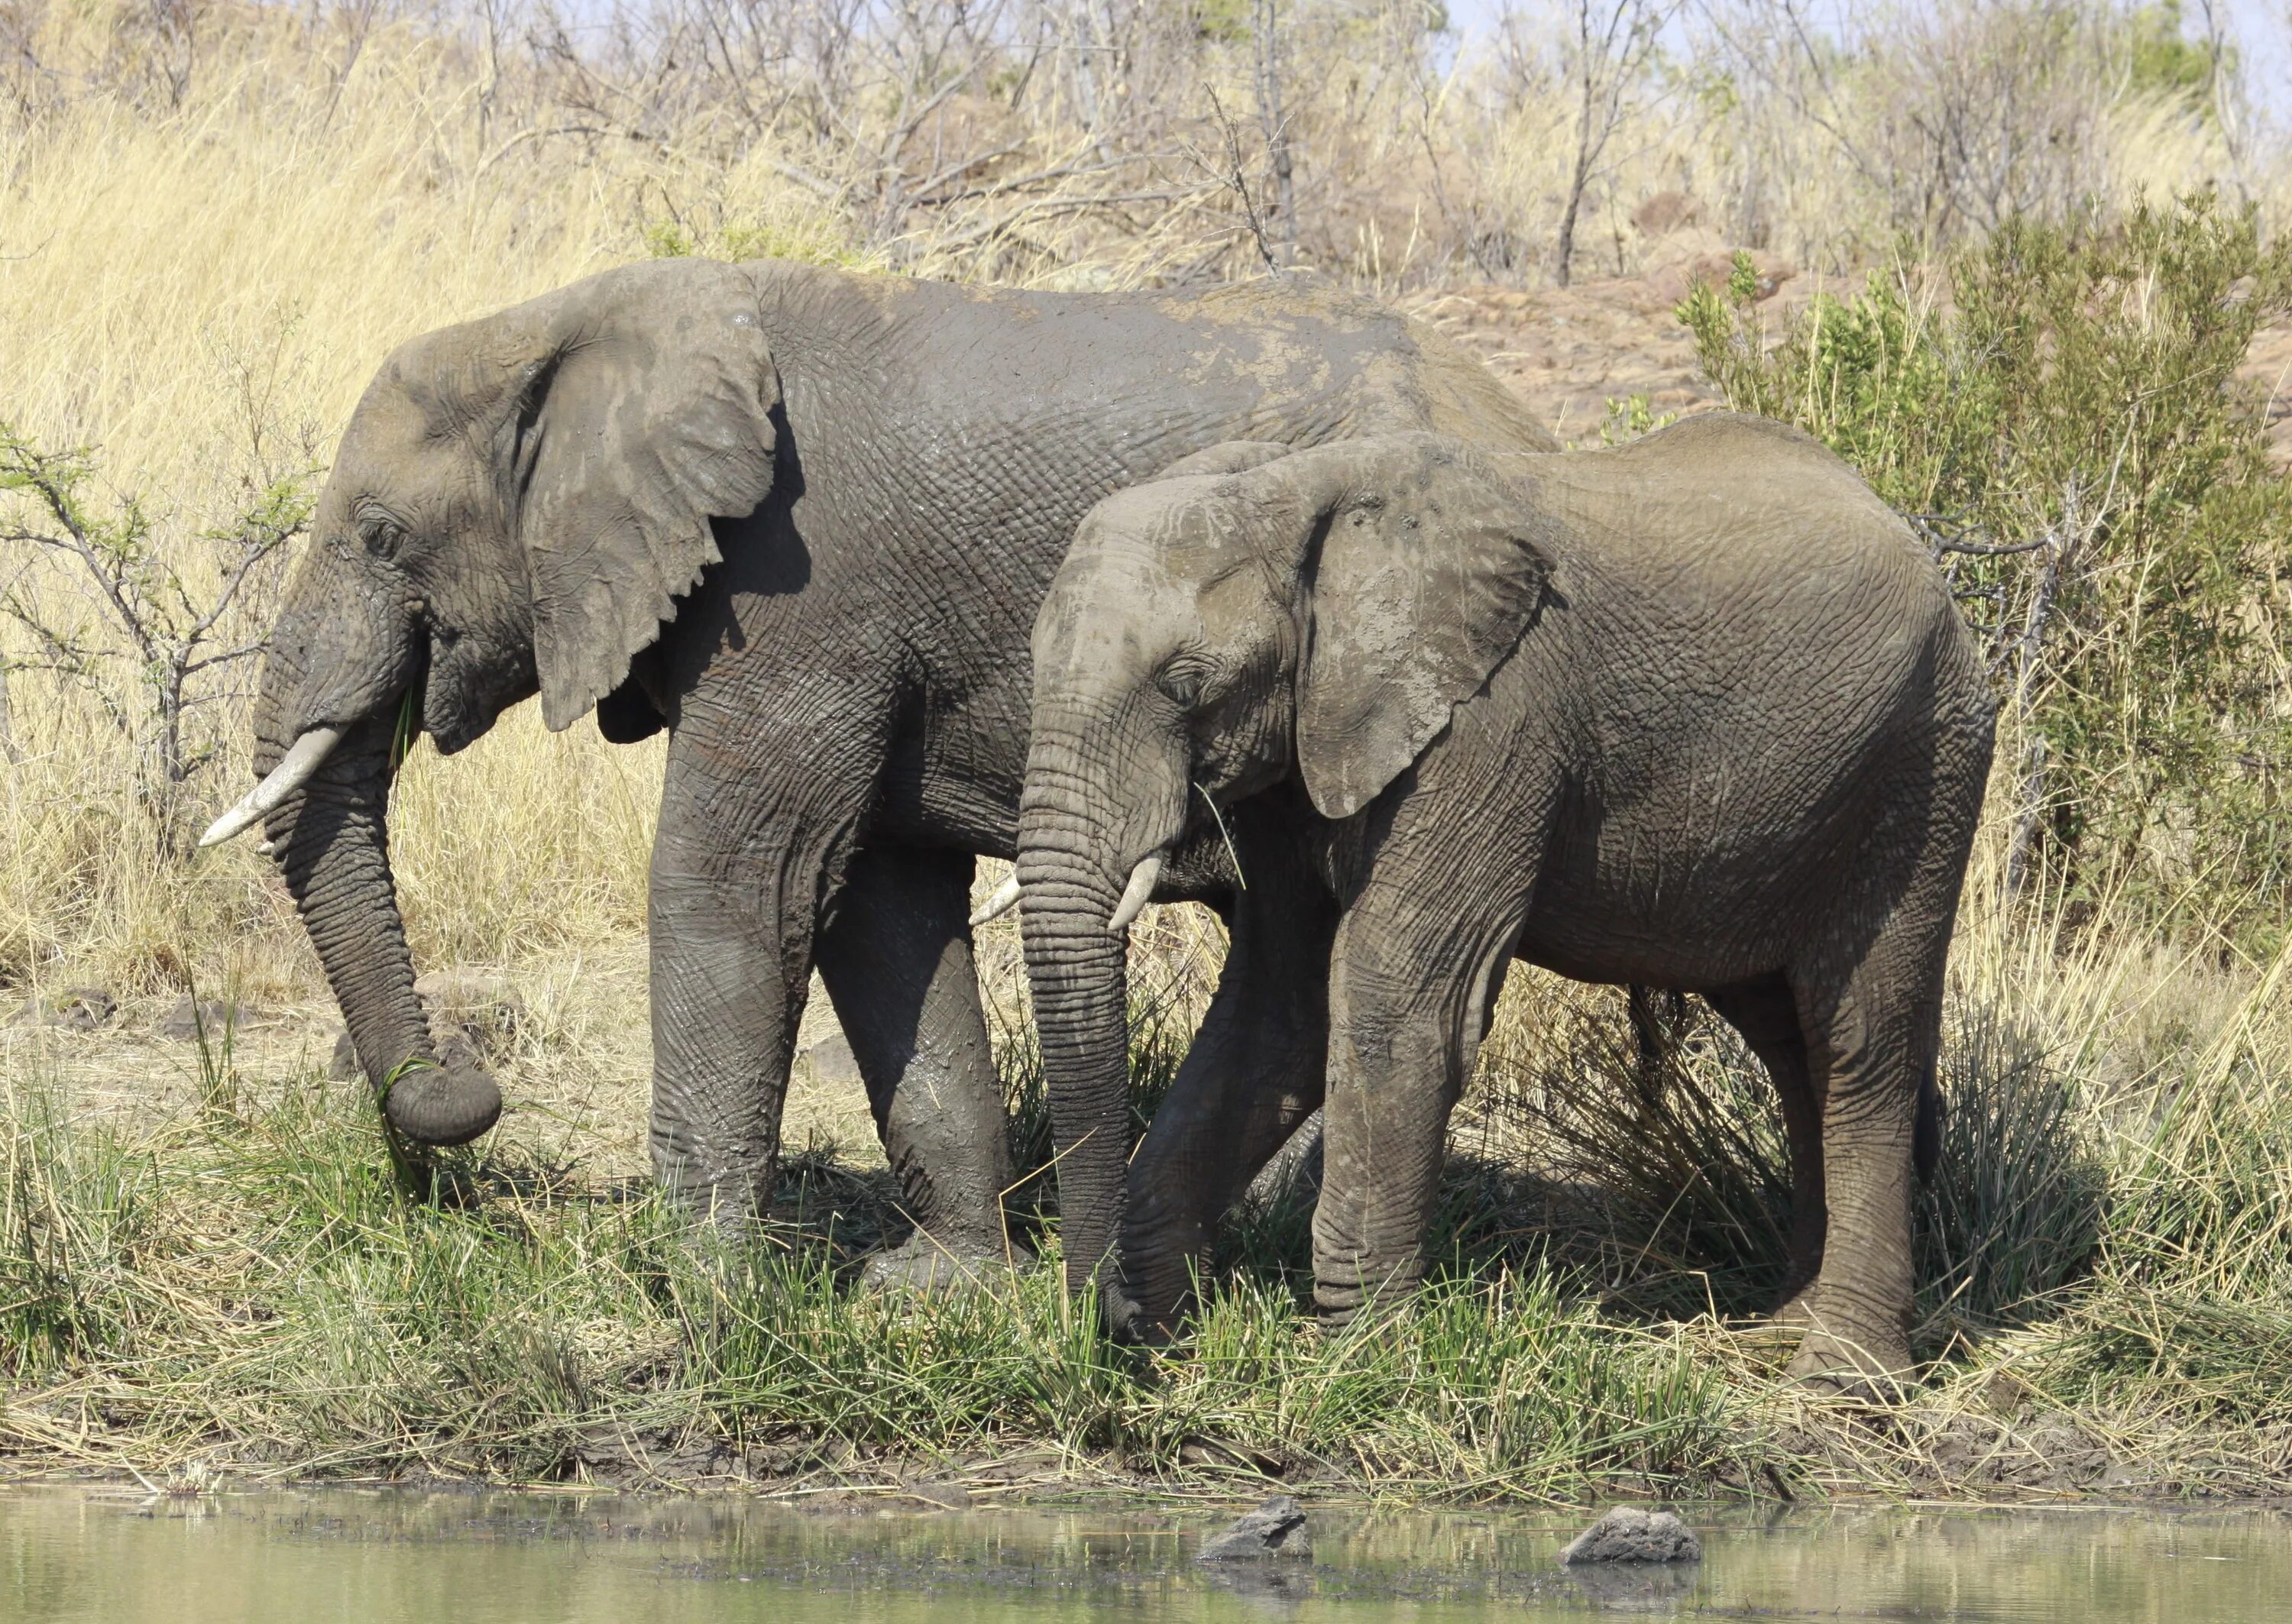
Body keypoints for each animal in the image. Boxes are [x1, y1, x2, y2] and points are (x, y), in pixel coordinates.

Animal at [206, 253, 1559, 1273]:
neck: (574, 322)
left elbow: (737, 879)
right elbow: (878, 903)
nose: (459, 1091)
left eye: (384, 537)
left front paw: (705, 1293)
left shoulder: (801, 592)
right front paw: (942, 1288)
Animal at [1013, 412, 1999, 1374]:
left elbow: (1395, 998)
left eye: (1186, 686)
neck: (1296, 488)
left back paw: (1839, 1376)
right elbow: (1274, 1009)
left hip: (1922, 766)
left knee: (1861, 1040)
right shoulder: (1305, 744)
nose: (1104, 1330)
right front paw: (1168, 1328)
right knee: (1790, 1039)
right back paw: (1783, 1327)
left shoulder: (1492, 722)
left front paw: (1362, 1360)